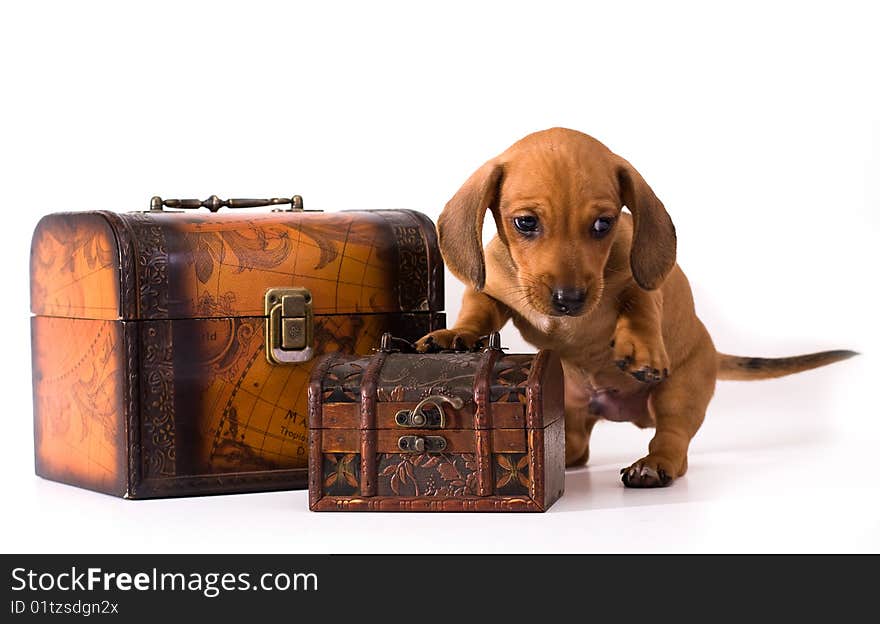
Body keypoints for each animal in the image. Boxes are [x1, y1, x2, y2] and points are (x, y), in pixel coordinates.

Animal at [416, 128, 856, 488]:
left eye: (603, 224)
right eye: (525, 222)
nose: (569, 300)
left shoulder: (639, 284)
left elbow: (640, 306)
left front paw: (642, 349)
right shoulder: (492, 292)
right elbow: (477, 312)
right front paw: (454, 335)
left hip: (680, 392)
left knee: (672, 441)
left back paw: (653, 465)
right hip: (571, 410)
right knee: (577, 446)